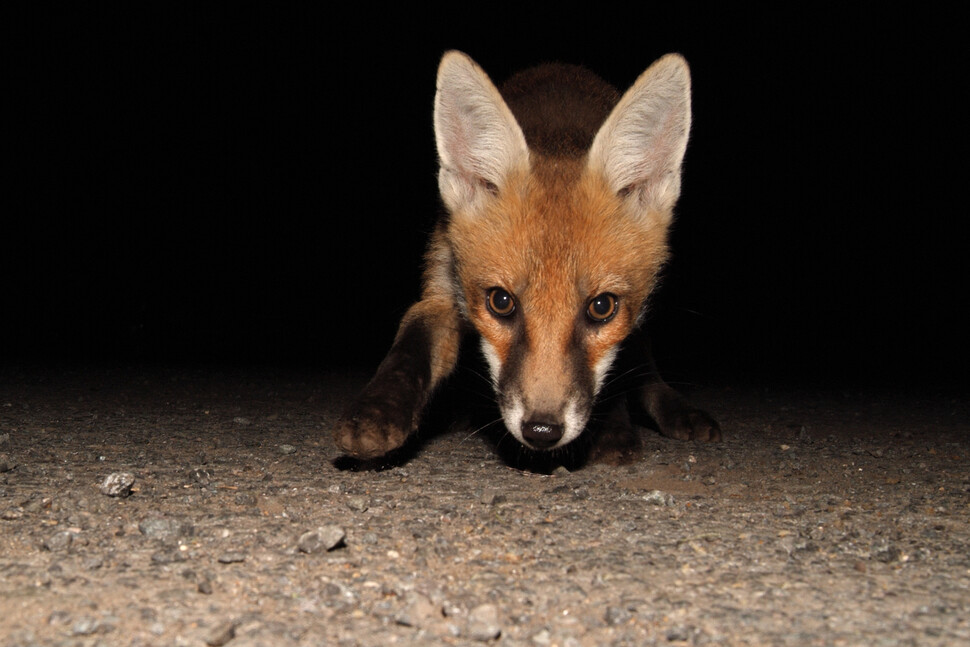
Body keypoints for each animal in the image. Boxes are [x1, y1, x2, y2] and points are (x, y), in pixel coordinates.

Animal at [332, 52, 720, 466]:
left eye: (602, 307)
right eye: (501, 302)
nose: (542, 431)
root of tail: (563, 66)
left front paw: (613, 430)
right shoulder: (442, 286)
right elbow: (409, 350)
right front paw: (374, 414)